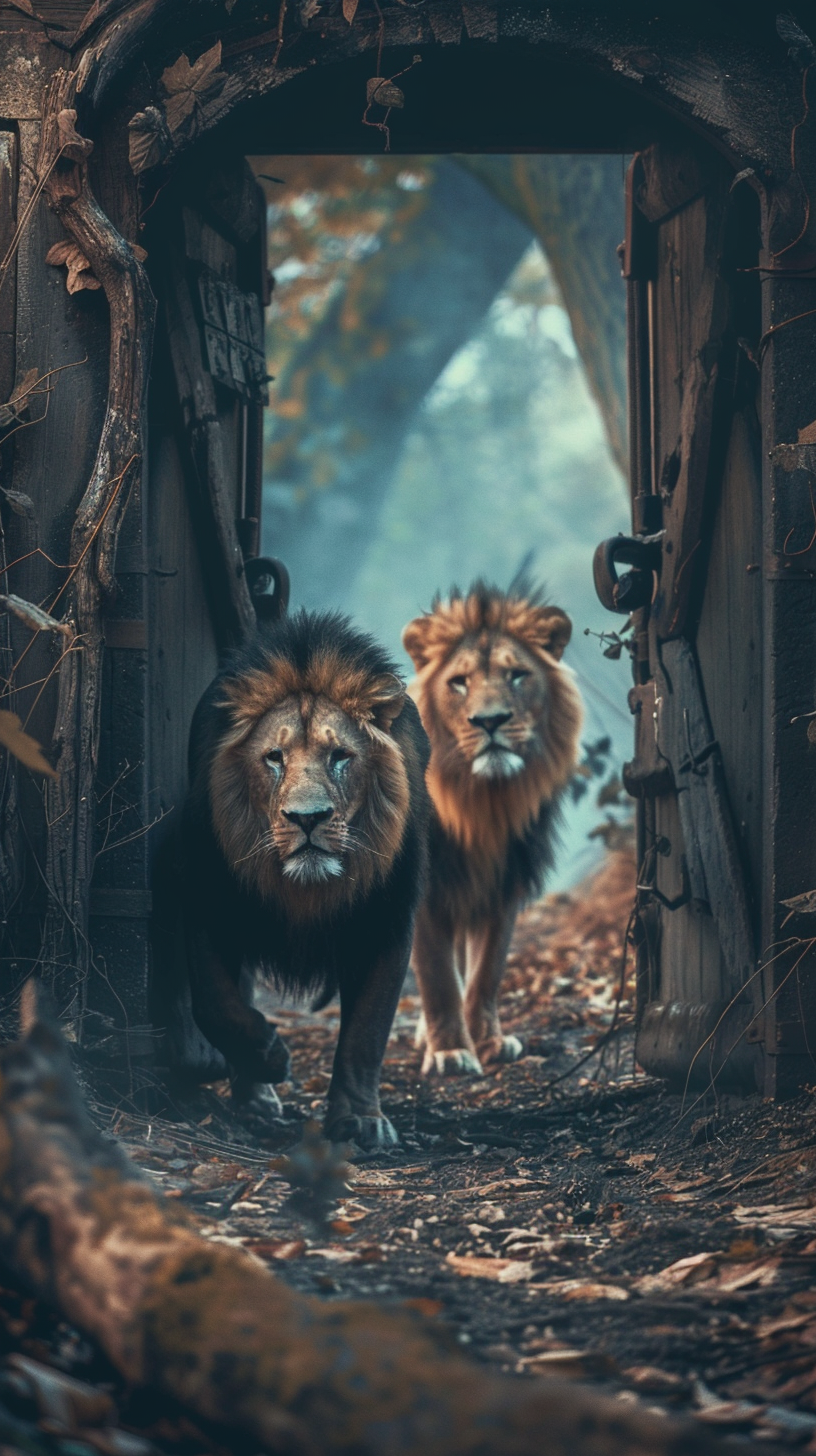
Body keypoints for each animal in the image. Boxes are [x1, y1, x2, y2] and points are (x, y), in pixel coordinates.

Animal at [180, 605, 431, 1147]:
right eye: (274, 758)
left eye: (340, 757)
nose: (307, 818)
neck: (305, 889)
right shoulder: (208, 898)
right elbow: (214, 1003)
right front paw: (270, 1058)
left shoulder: (386, 919)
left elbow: (366, 1032)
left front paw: (361, 1120)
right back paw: (256, 1097)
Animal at [399, 576, 579, 1071]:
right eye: (459, 683)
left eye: (516, 675)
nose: (490, 720)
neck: (482, 803)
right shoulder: (428, 894)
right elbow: (438, 977)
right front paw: (451, 1052)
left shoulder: (504, 886)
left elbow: (486, 974)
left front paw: (488, 1043)